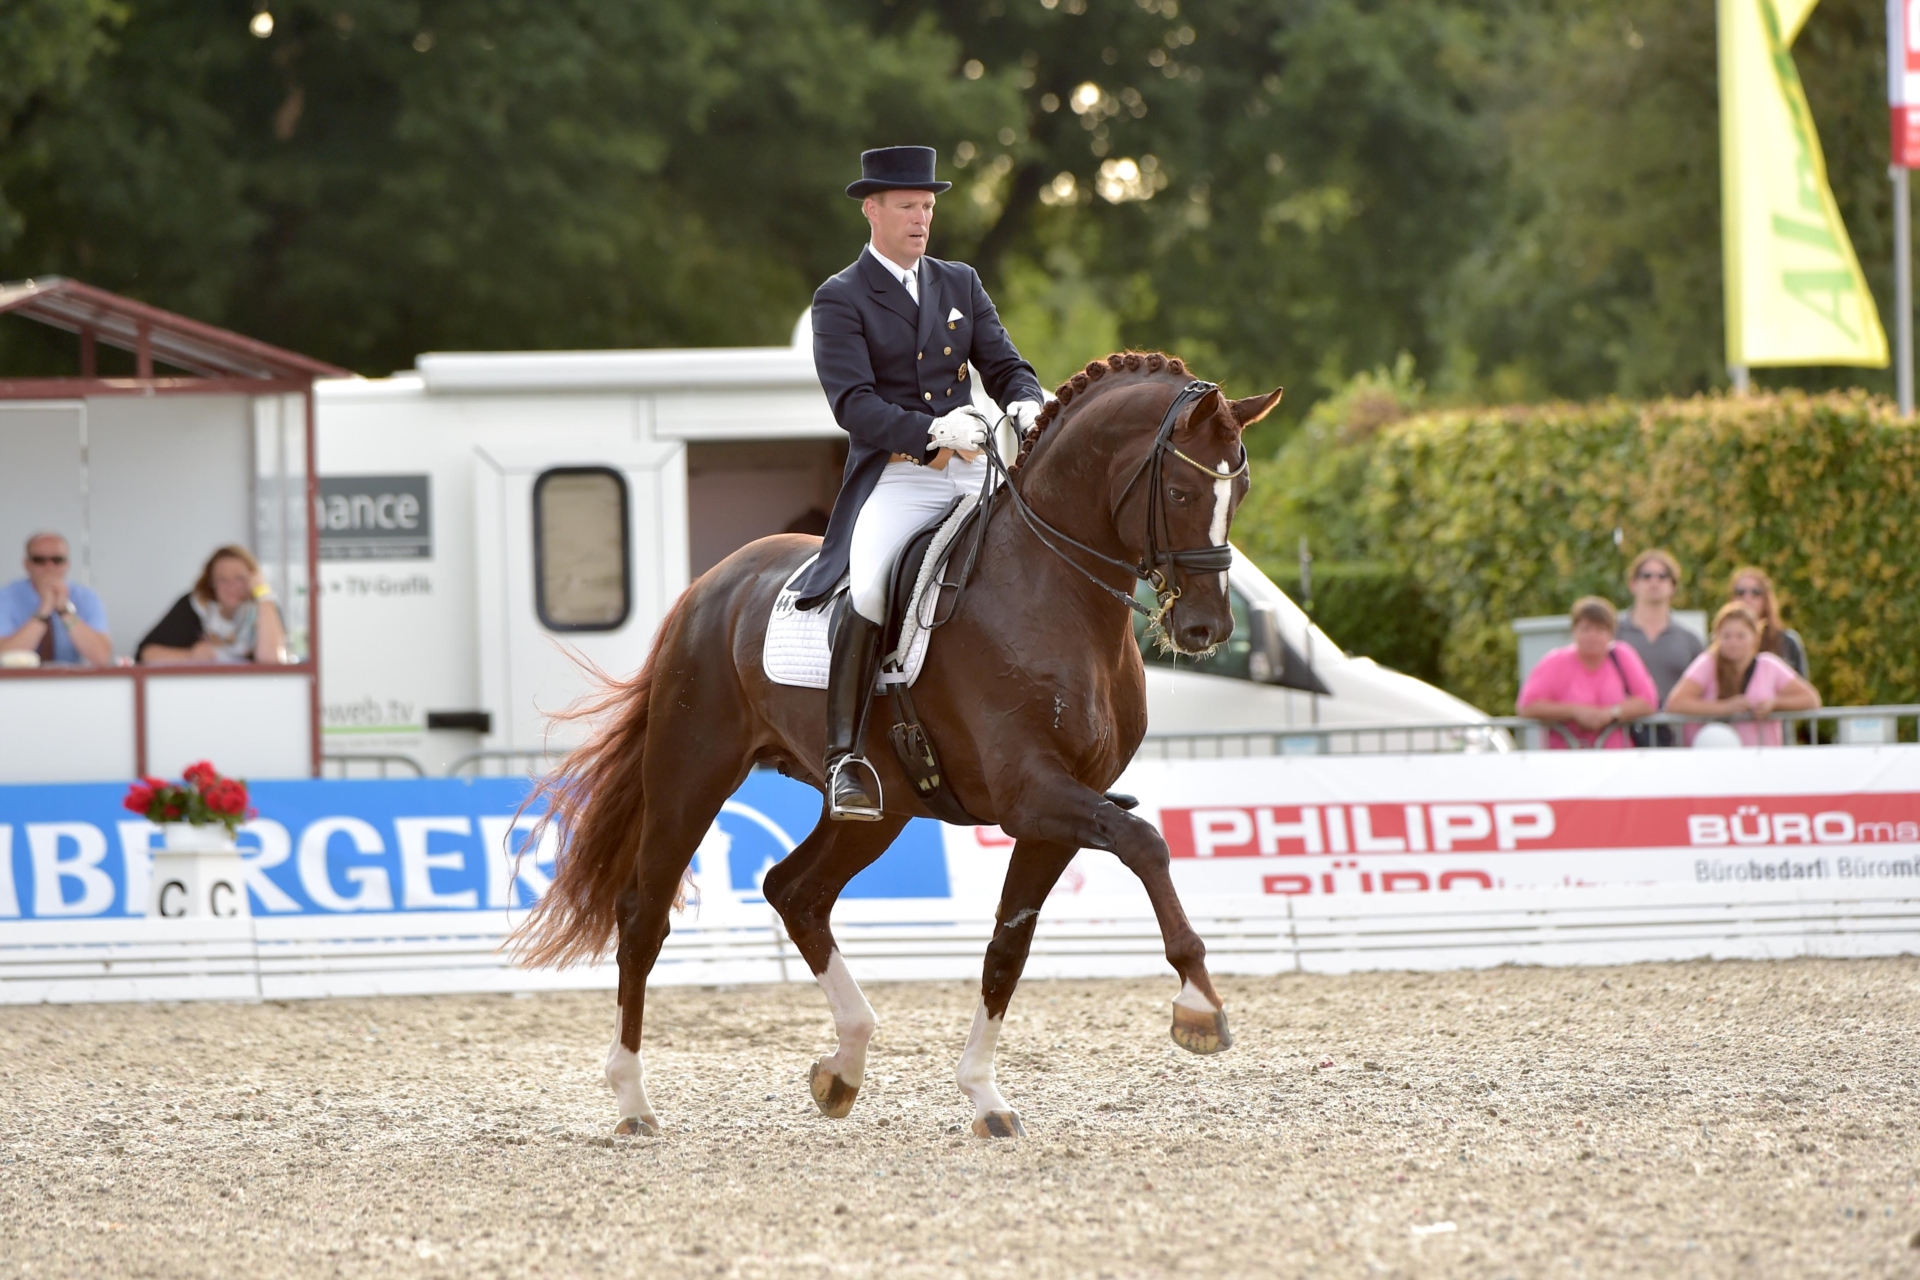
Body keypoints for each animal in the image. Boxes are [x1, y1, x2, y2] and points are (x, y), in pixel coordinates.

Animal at [518, 353, 1282, 1143]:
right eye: (1183, 489)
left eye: (1241, 490)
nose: (1206, 629)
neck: (1053, 594)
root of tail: (710, 586)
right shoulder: (1033, 794)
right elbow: (1144, 844)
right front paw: (1199, 1003)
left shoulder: (1058, 812)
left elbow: (1009, 946)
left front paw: (984, 1094)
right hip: (690, 773)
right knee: (645, 914)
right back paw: (633, 1100)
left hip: (878, 809)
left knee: (796, 892)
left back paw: (843, 1065)